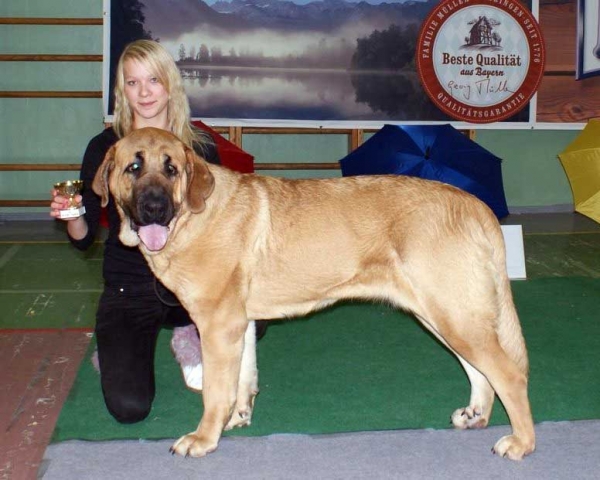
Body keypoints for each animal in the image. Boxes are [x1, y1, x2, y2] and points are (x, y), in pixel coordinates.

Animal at [92, 127, 536, 462]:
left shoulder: (218, 325)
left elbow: (217, 391)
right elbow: (243, 379)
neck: (191, 216)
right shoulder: (241, 324)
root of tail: (475, 205)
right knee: (481, 372)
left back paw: (521, 443)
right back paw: (475, 416)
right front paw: (238, 418)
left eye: (172, 169)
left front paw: (203, 439)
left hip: (454, 315)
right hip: (444, 314)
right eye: (134, 167)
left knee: (509, 374)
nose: (154, 207)